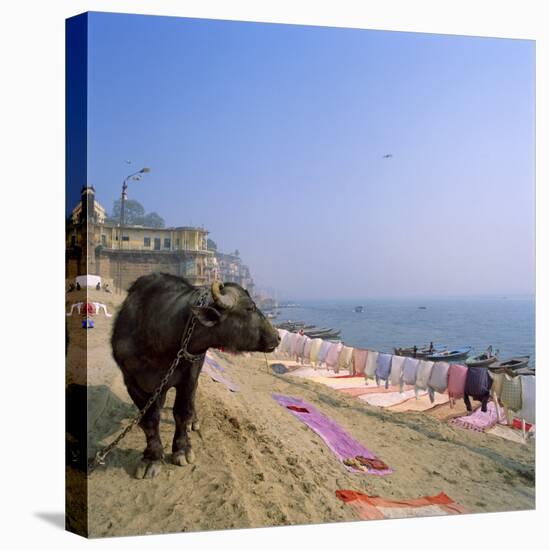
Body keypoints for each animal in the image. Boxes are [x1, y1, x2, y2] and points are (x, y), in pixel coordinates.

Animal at [113, 274, 280, 480]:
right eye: (250, 308)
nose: (277, 336)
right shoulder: (131, 382)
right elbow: (149, 420)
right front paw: (152, 457)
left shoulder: (189, 376)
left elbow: (182, 412)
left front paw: (182, 450)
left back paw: (194, 420)